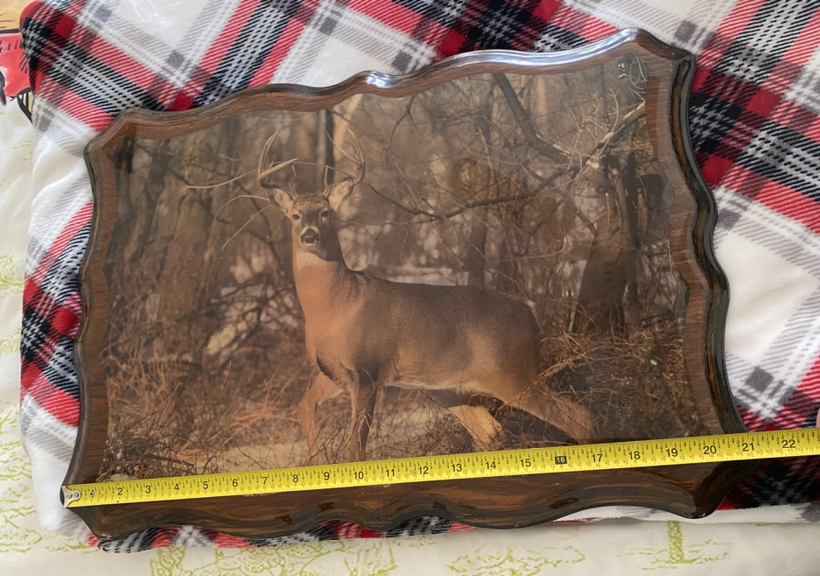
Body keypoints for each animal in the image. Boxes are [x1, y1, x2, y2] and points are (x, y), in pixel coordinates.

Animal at [258, 132, 594, 463]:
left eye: (325, 213)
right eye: (295, 215)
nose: (309, 235)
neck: (334, 306)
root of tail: (530, 312)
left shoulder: (367, 372)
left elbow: (356, 451)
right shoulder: (332, 372)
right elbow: (304, 405)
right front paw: (315, 457)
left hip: (513, 374)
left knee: (577, 416)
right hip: (450, 388)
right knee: (490, 431)